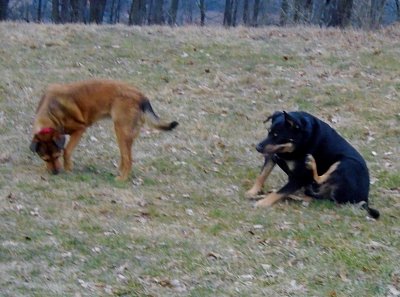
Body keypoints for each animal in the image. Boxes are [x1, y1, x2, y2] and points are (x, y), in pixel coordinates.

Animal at [29, 78, 177, 179]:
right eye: (45, 159)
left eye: (57, 156)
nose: (55, 173)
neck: (50, 113)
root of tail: (141, 96)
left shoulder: (80, 129)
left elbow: (67, 150)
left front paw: (68, 168)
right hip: (127, 134)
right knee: (125, 156)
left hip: (120, 130)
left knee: (128, 159)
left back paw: (122, 178)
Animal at [245, 110, 380, 217]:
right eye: (268, 131)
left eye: (277, 135)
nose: (257, 147)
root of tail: (364, 200)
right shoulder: (272, 156)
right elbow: (262, 175)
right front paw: (253, 191)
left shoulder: (299, 178)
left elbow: (280, 192)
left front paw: (263, 203)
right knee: (313, 196)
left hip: (346, 163)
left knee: (318, 181)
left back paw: (311, 163)